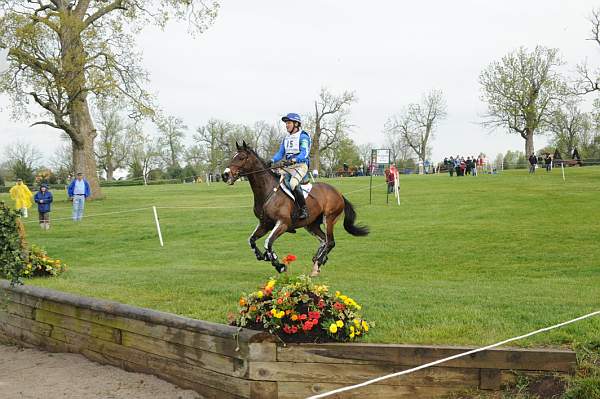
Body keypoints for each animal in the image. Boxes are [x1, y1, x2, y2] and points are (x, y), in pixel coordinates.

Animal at [221, 142, 368, 276]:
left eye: (241, 157)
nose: (225, 175)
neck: (268, 191)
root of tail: (339, 193)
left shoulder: (283, 224)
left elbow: (268, 243)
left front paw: (278, 265)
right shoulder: (265, 224)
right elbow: (251, 240)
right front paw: (263, 256)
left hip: (329, 219)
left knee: (330, 242)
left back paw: (318, 263)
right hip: (311, 225)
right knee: (324, 241)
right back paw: (317, 261)